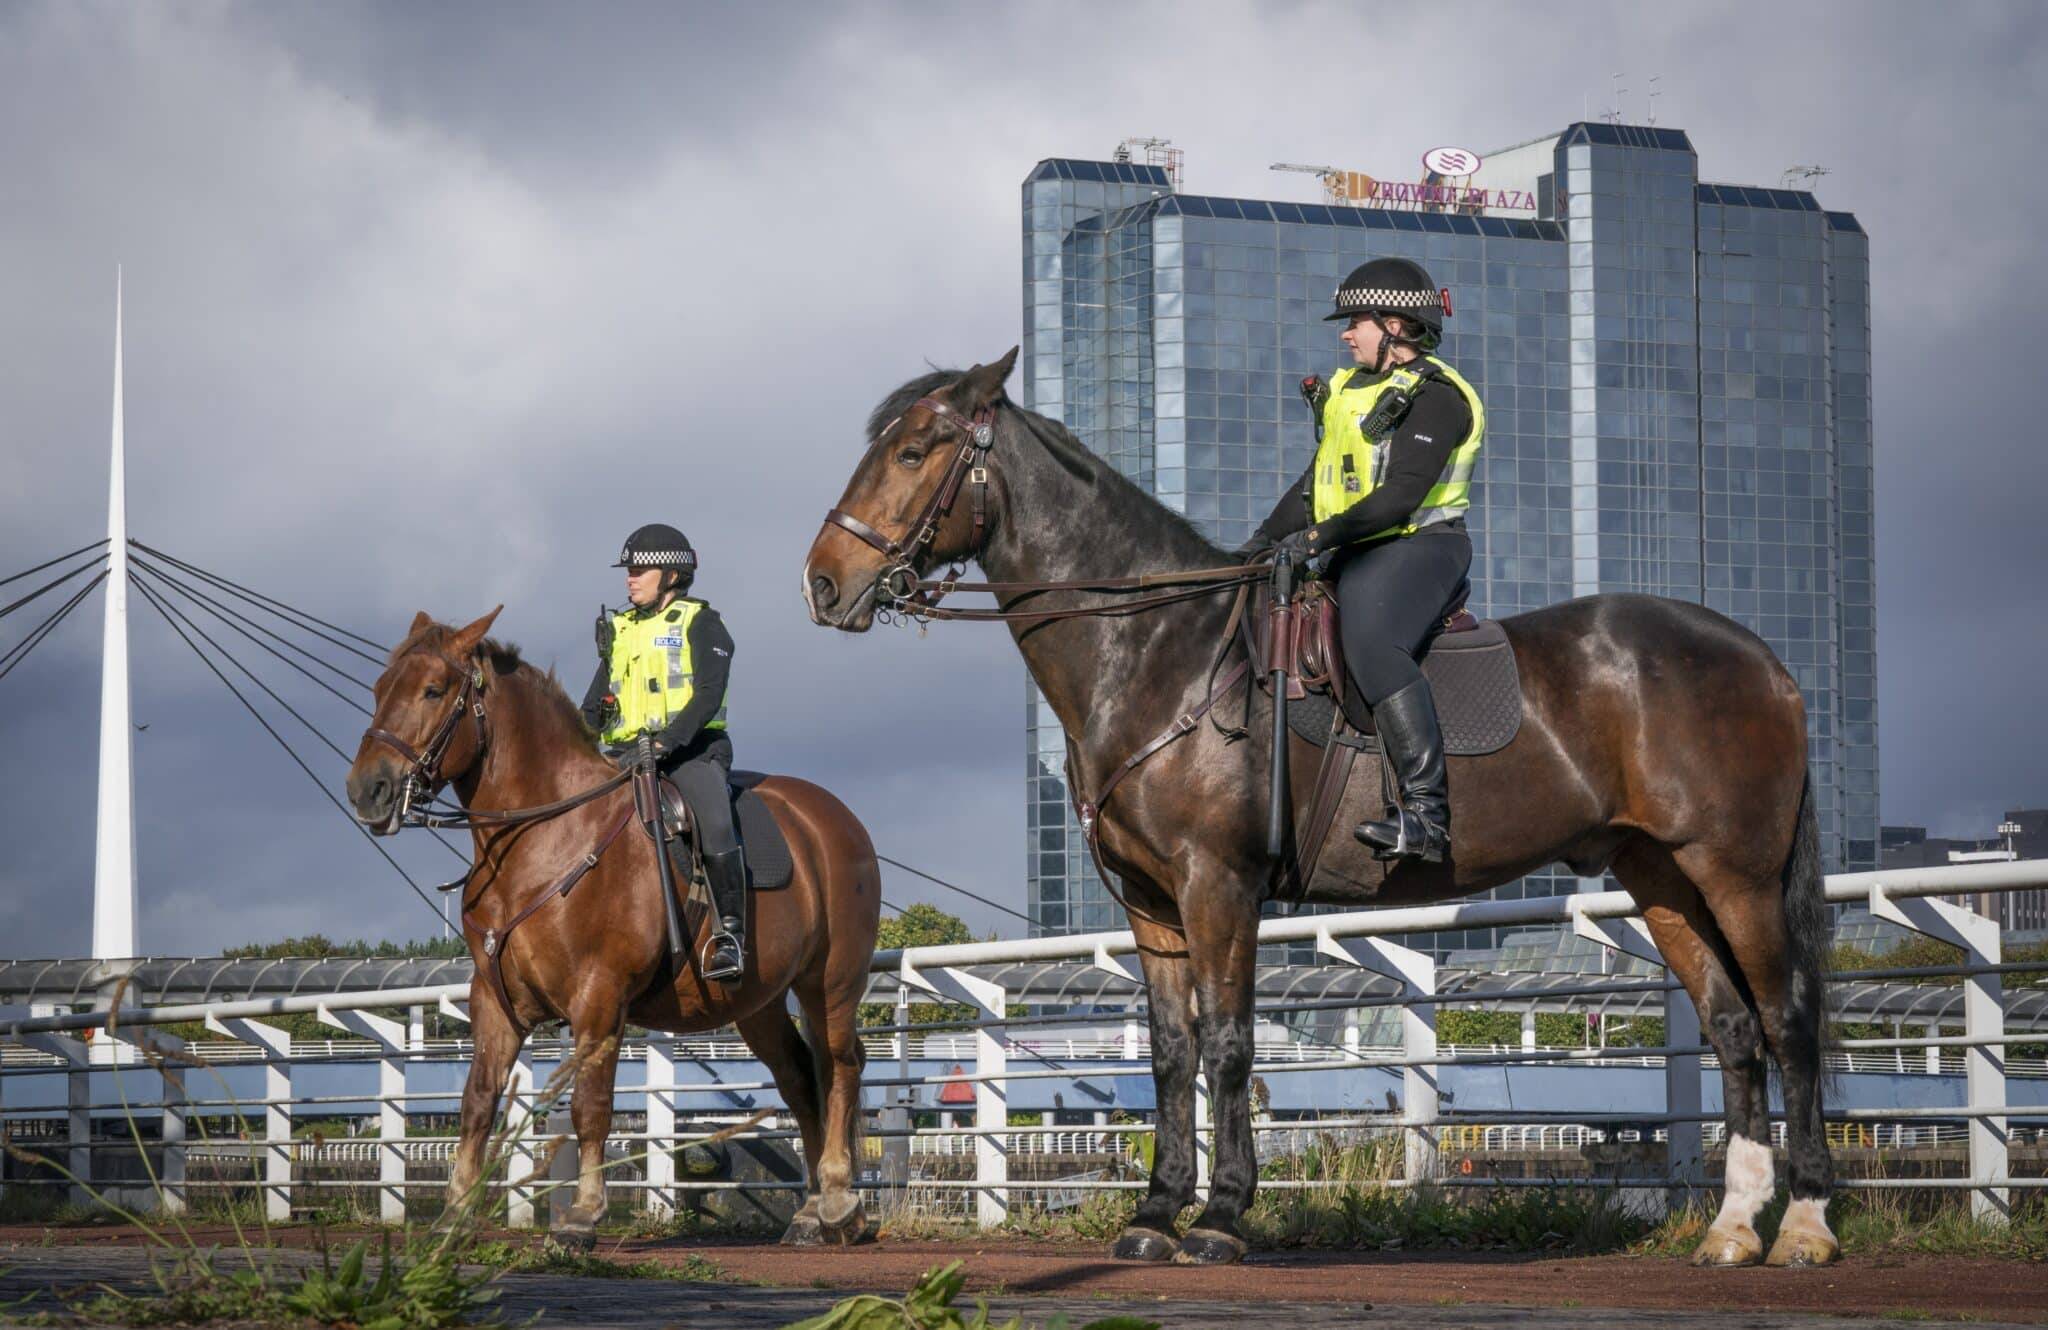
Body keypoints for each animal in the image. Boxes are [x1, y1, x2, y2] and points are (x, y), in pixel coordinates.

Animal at [342, 524, 880, 1237]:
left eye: (433, 691)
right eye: (380, 687)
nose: (367, 791)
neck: (540, 840)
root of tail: (835, 818)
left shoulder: (599, 997)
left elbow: (591, 1105)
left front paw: (583, 1212)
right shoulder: (495, 1001)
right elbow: (478, 1099)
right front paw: (455, 1212)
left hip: (831, 980)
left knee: (839, 1066)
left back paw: (841, 1197)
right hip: (757, 1000)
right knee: (798, 1078)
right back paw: (814, 1210)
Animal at [798, 257, 1843, 1262]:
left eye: (912, 451)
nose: (823, 583)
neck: (1161, 652)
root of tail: (1762, 659)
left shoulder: (1221, 884)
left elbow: (1229, 1045)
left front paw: (1221, 1218)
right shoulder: (1151, 902)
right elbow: (1169, 1055)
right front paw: (1155, 1212)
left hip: (1736, 874)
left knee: (1789, 1022)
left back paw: (1803, 1225)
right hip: (1661, 876)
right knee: (1734, 1028)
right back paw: (1731, 1229)